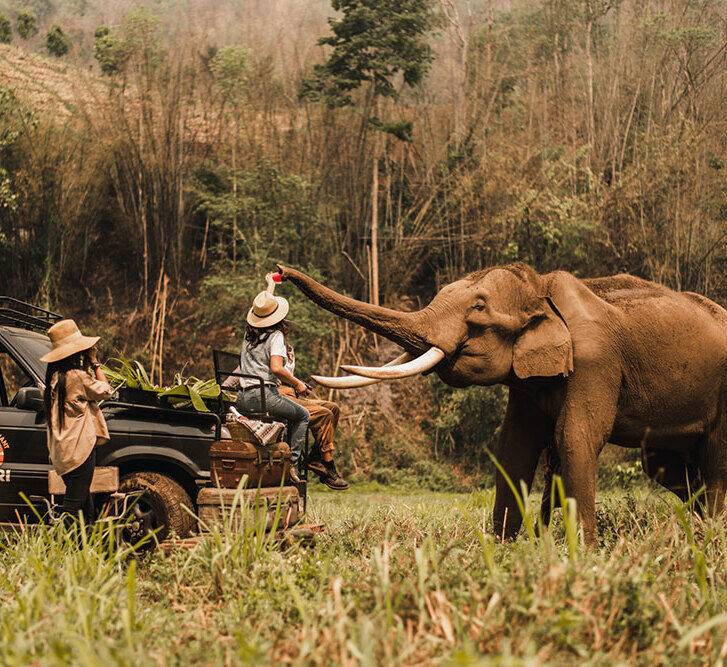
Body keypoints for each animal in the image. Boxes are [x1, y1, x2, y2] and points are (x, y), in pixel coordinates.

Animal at [277, 262, 727, 544]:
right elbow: (514, 446)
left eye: (478, 308)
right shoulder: (527, 385)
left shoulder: (597, 361)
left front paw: (585, 553)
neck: (543, 289)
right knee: (664, 465)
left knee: (715, 461)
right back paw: (697, 525)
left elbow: (576, 438)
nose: (279, 272)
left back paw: (712, 533)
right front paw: (505, 547)